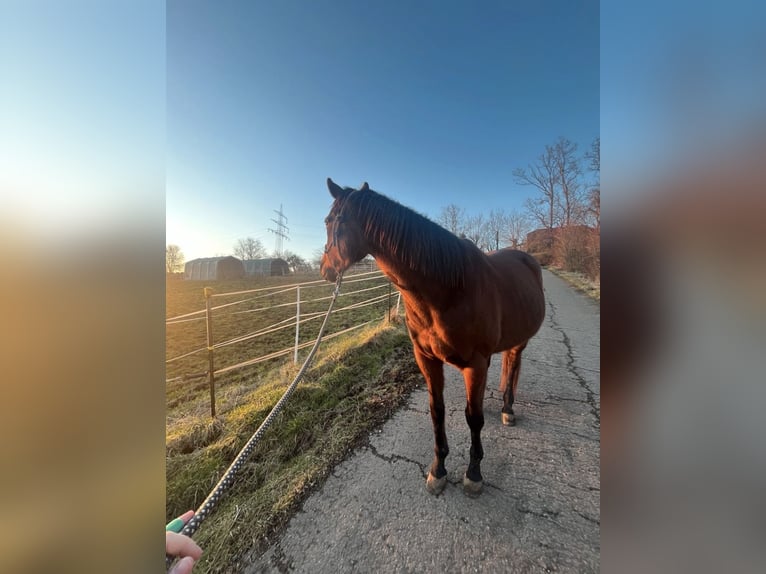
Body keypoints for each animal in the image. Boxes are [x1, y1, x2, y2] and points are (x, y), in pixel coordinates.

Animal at [320, 178, 545, 495]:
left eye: (329, 221)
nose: (324, 269)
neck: (449, 288)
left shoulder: (475, 365)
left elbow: (473, 418)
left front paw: (473, 473)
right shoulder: (426, 358)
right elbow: (437, 411)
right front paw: (438, 469)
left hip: (519, 342)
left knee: (512, 366)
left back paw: (508, 409)